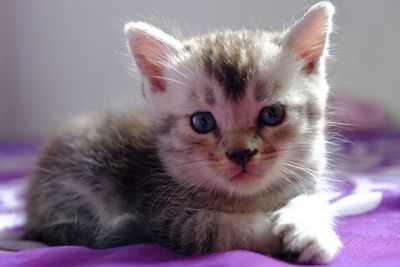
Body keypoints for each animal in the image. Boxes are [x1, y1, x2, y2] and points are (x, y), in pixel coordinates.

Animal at [25, 1, 340, 266]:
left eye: (272, 114)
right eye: (202, 122)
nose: (241, 154)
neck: (249, 198)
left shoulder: (309, 176)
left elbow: (313, 198)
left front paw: (311, 230)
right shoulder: (162, 213)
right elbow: (220, 228)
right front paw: (274, 235)